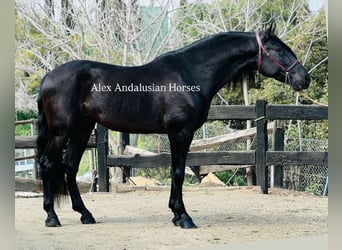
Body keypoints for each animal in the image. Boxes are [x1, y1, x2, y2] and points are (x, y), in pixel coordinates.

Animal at [36, 23, 310, 229]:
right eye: (277, 48)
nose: (303, 78)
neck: (190, 73)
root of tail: (48, 77)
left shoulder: (177, 134)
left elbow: (175, 171)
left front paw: (176, 215)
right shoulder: (181, 132)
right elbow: (178, 172)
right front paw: (184, 217)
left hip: (82, 130)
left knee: (70, 167)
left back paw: (85, 214)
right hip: (61, 132)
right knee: (48, 164)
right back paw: (52, 217)